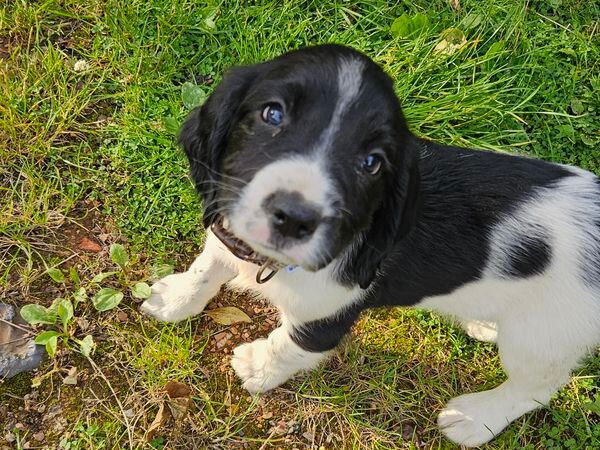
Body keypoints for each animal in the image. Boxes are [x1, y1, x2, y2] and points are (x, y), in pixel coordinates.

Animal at [142, 45, 600, 446]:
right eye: (272, 113)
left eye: (372, 162)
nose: (294, 217)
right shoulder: (228, 230)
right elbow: (207, 267)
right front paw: (175, 298)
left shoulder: (326, 317)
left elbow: (289, 345)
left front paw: (258, 367)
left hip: (541, 336)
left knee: (535, 388)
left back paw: (475, 418)